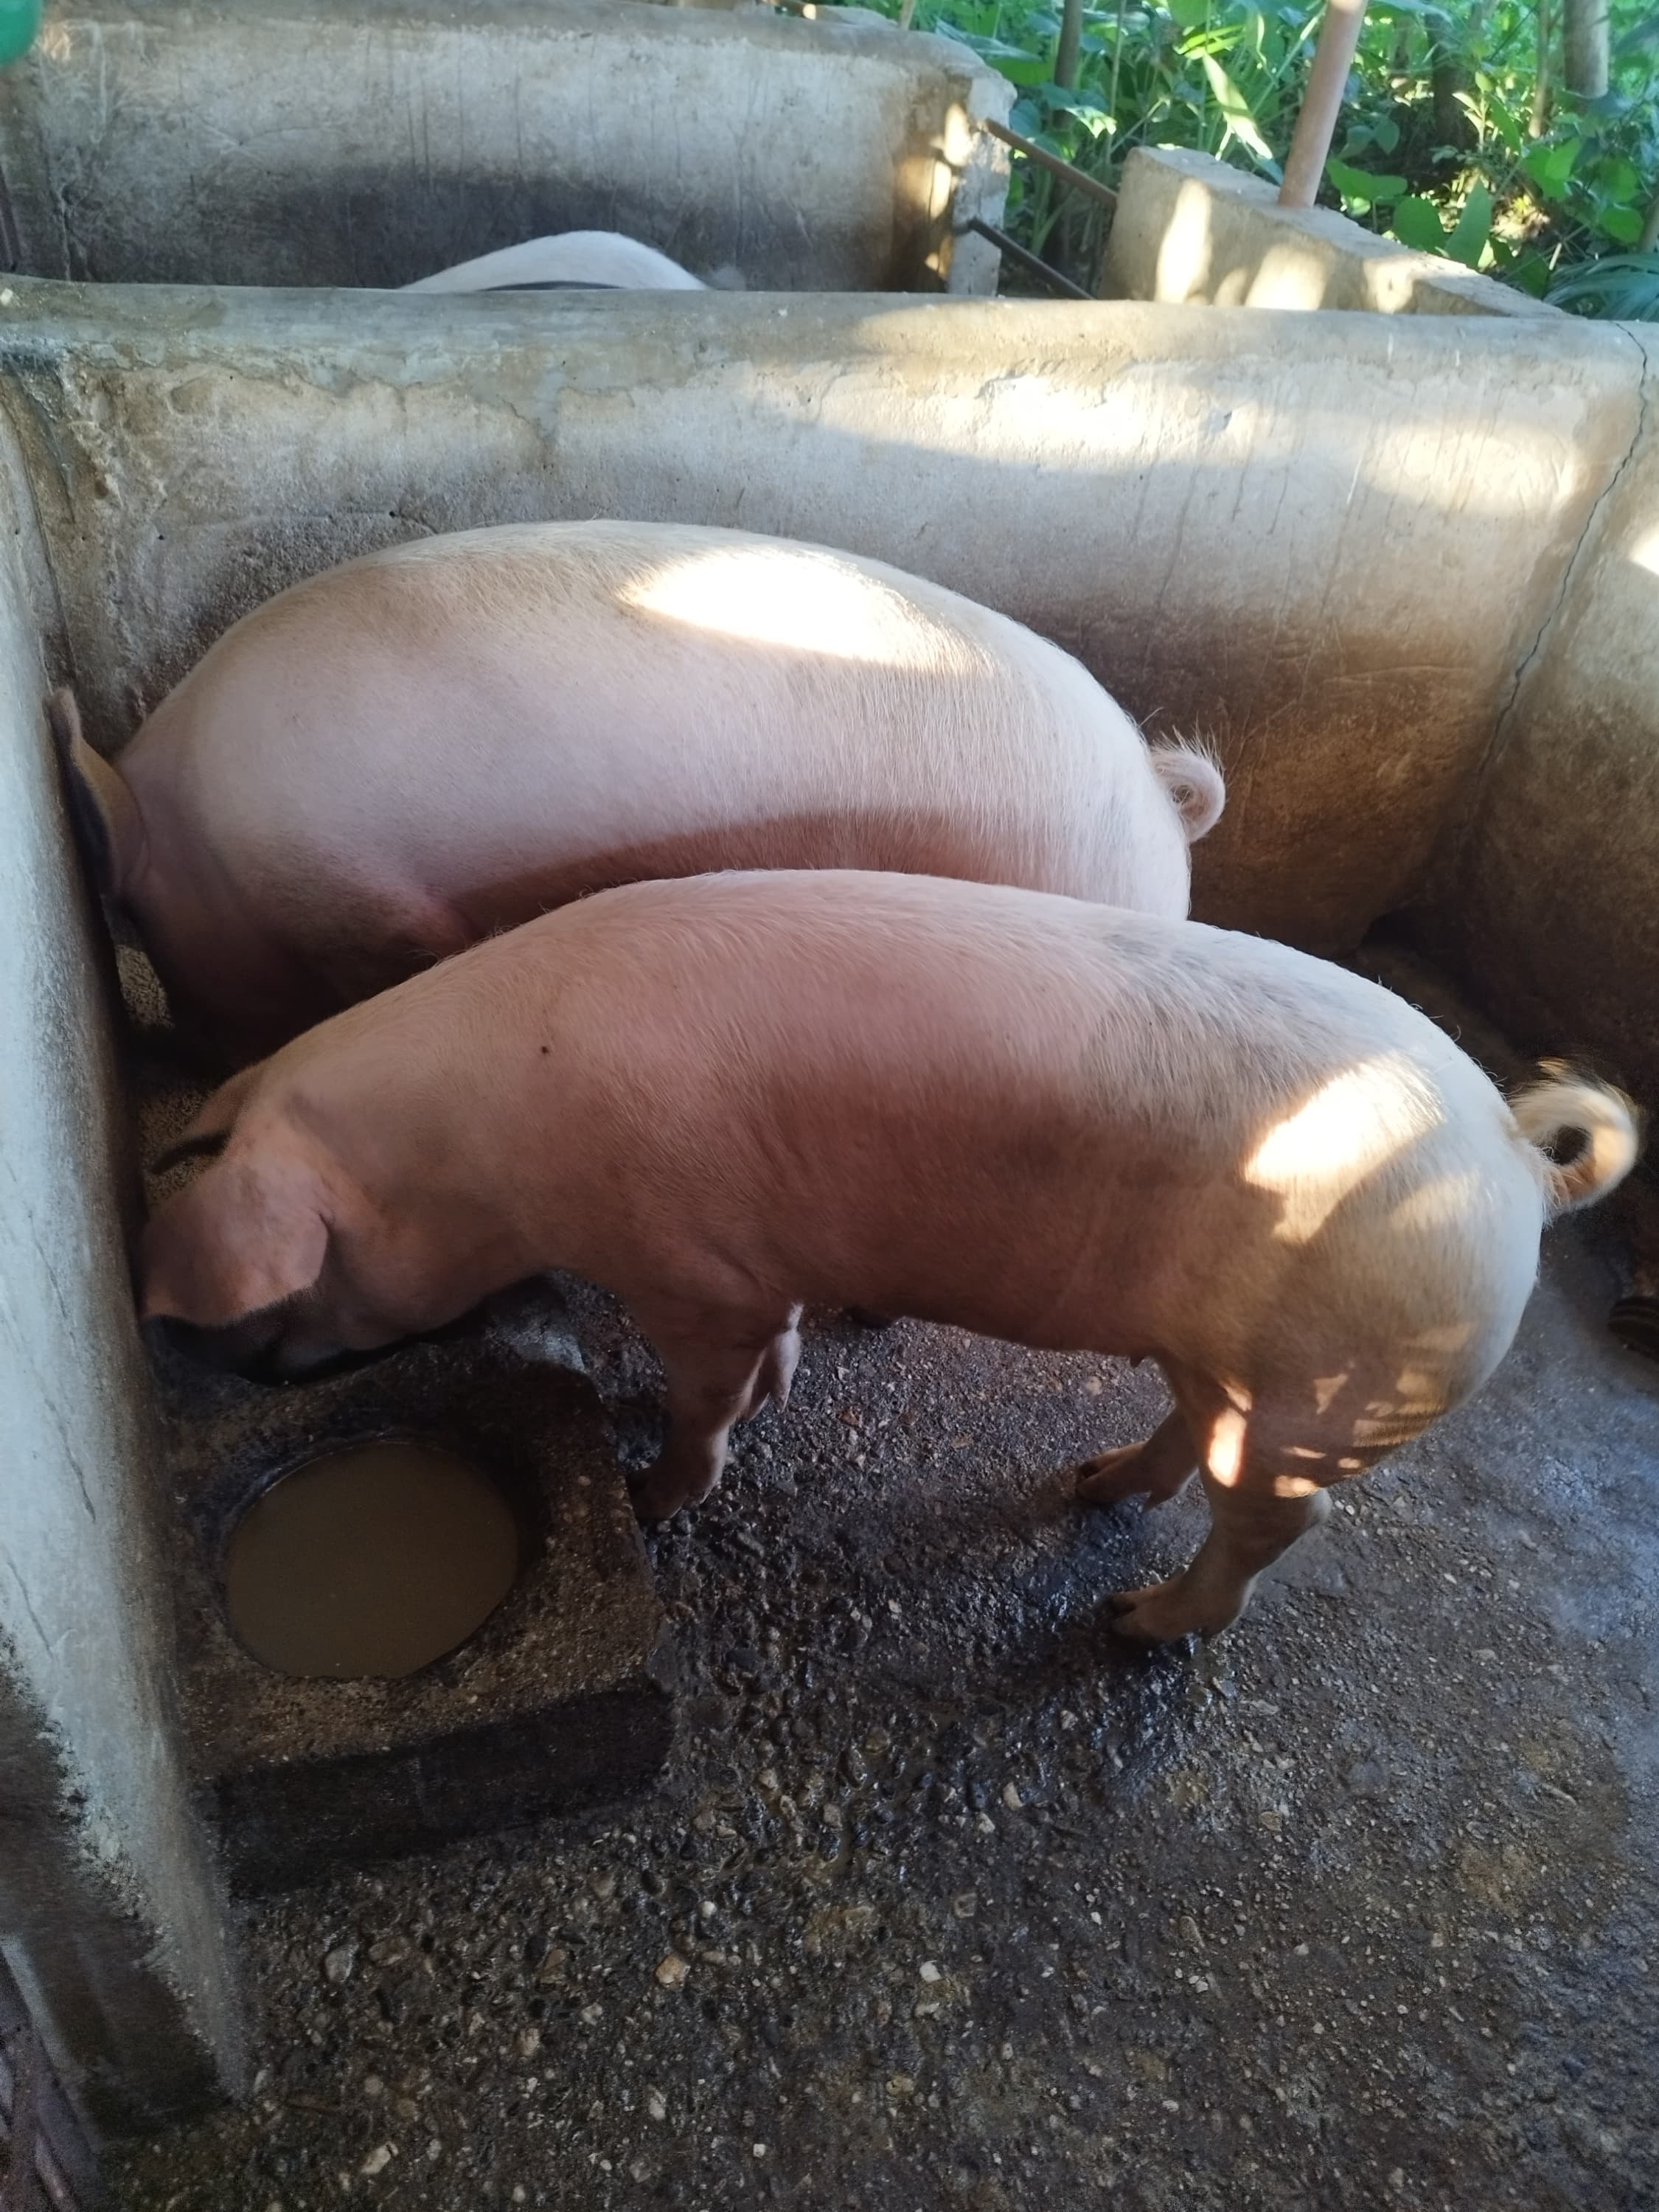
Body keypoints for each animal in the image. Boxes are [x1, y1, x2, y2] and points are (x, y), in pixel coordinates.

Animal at [139, 871, 1639, 1646]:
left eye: (308, 1277)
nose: (244, 1376)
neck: (474, 1153)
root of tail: (1509, 1154)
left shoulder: (688, 1268)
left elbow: (703, 1400)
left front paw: (653, 1495)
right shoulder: (761, 1258)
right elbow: (778, 1346)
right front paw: (781, 1395)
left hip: (1329, 1390)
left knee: (1282, 1520)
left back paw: (1133, 1625)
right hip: (1222, 1364)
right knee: (1184, 1444)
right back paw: (1089, 1487)